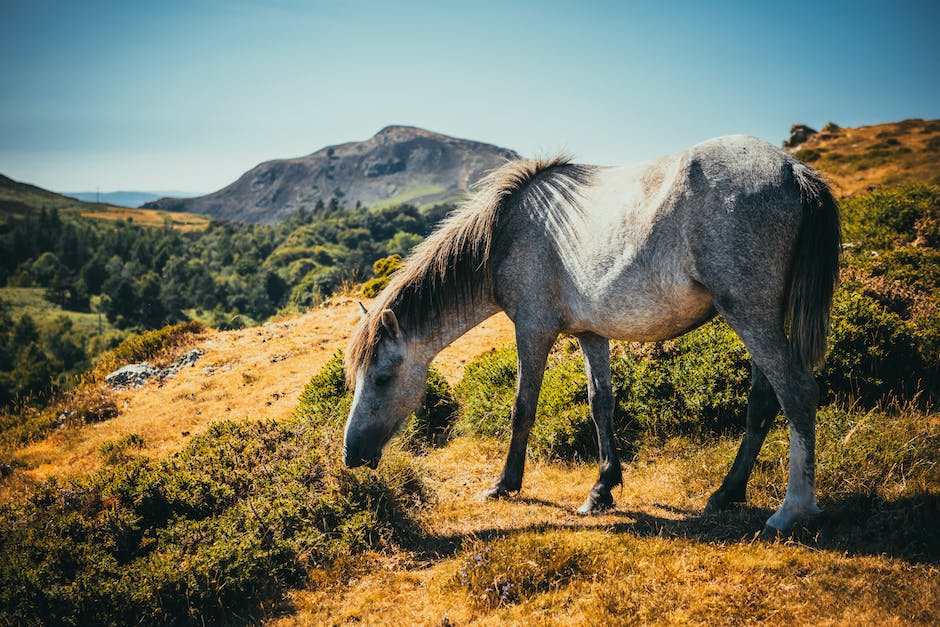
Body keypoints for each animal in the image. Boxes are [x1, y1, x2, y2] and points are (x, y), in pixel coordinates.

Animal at [342, 135, 840, 532]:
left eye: (382, 378)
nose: (351, 455)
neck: (506, 232)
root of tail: (792, 170)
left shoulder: (533, 330)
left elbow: (522, 408)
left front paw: (504, 484)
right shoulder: (590, 333)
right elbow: (601, 403)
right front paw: (602, 489)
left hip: (751, 315)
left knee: (797, 392)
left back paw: (792, 510)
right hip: (758, 319)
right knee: (763, 400)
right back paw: (728, 492)